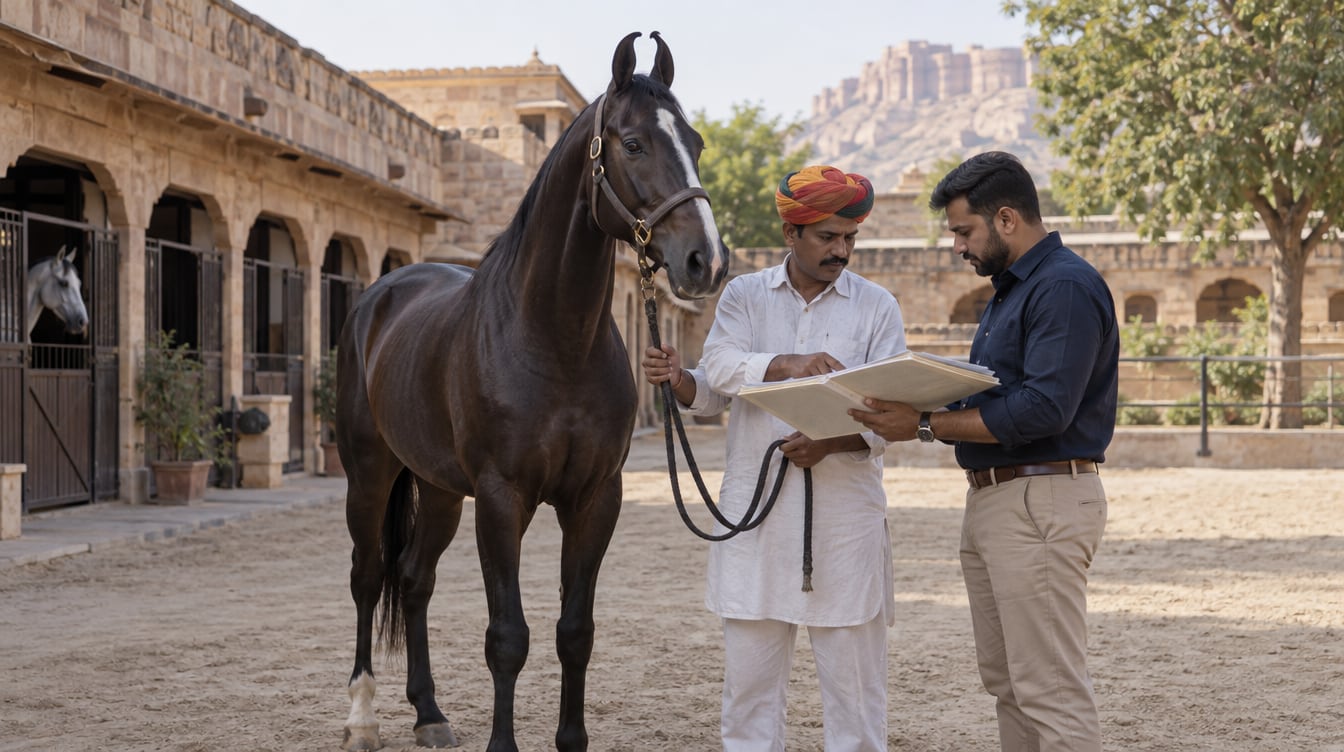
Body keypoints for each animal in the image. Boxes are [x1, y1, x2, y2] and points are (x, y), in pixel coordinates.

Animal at [337, 31, 727, 752]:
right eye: (634, 143)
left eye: (696, 140)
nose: (706, 262)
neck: (554, 340)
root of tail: (381, 295)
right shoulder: (501, 498)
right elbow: (507, 637)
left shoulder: (597, 498)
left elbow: (575, 632)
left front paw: (569, 739)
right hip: (370, 473)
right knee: (368, 576)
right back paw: (362, 718)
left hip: (437, 488)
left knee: (414, 580)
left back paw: (429, 714)